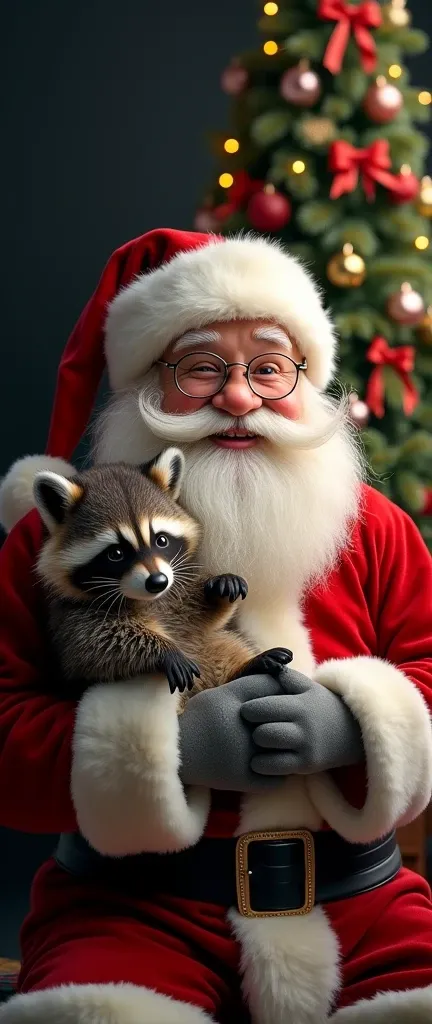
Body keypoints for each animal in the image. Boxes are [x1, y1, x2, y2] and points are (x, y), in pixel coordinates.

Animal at [32, 448, 292, 704]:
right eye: (116, 553)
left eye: (162, 540)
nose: (157, 582)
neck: (150, 601)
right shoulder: (73, 618)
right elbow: (96, 647)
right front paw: (163, 650)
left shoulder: (175, 599)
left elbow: (199, 615)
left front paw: (218, 586)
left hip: (208, 648)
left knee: (225, 646)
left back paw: (248, 664)